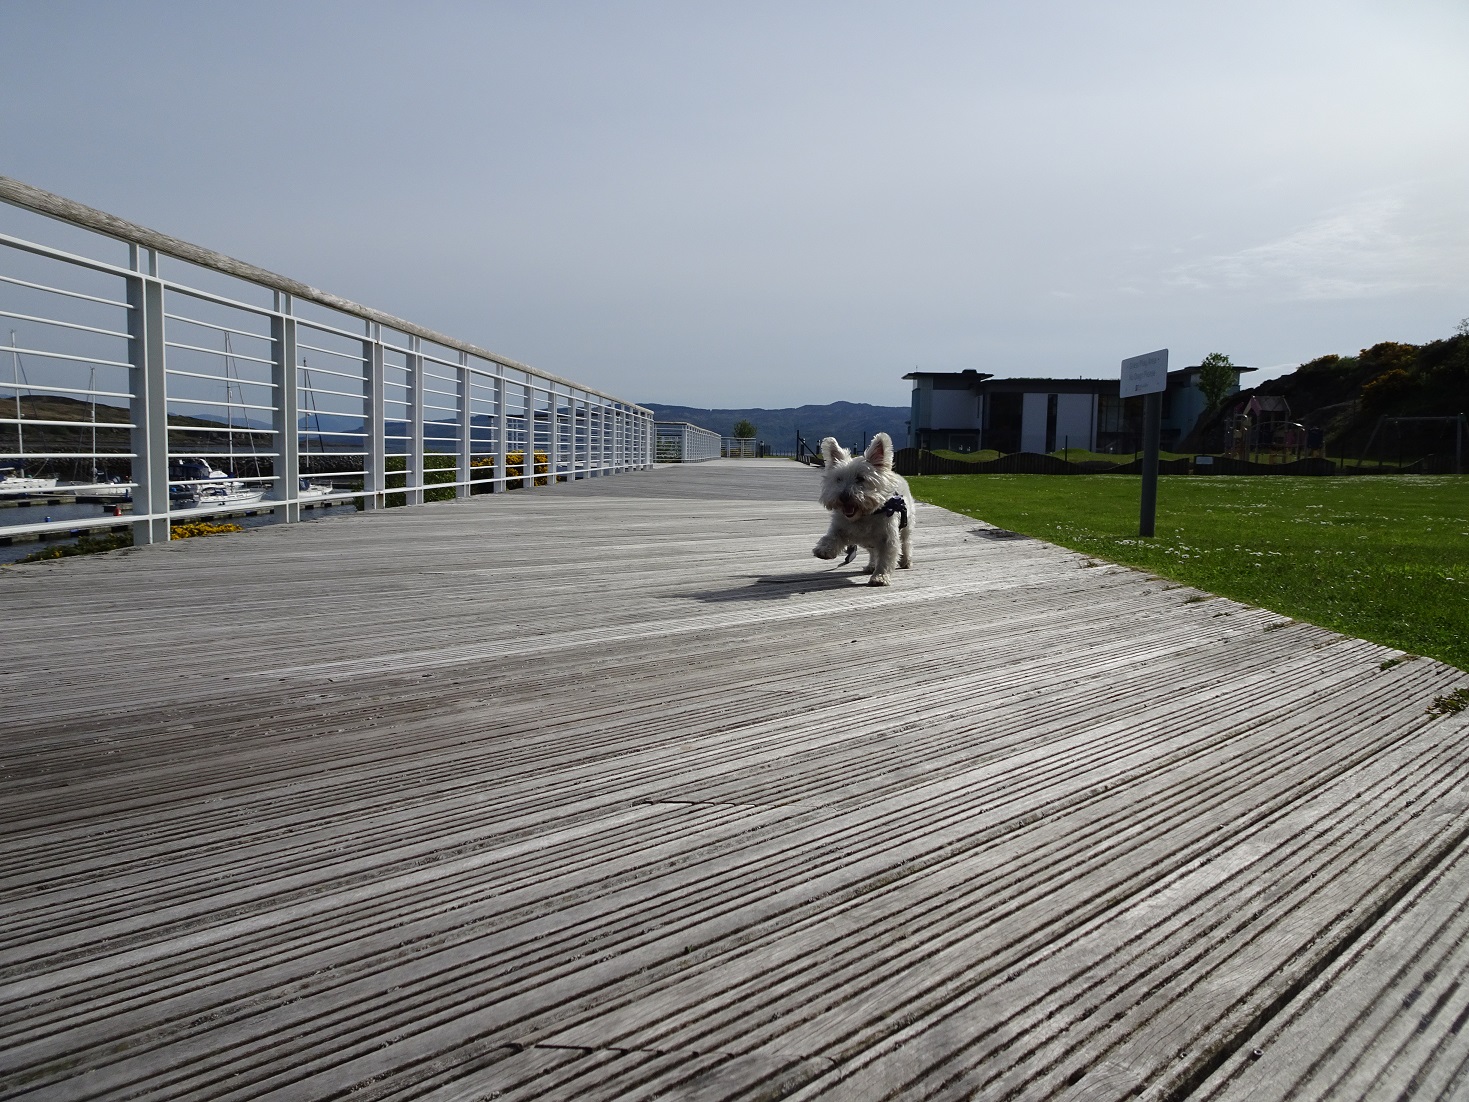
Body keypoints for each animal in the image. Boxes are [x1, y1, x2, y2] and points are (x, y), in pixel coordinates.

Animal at [810, 431, 910, 587]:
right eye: (838, 479)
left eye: (860, 478)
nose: (843, 497)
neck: (864, 515)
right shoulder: (841, 527)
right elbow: (832, 536)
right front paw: (824, 550)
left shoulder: (888, 538)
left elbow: (886, 559)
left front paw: (880, 577)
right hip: (869, 543)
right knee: (873, 553)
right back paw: (870, 566)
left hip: (906, 527)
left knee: (906, 544)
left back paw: (906, 561)